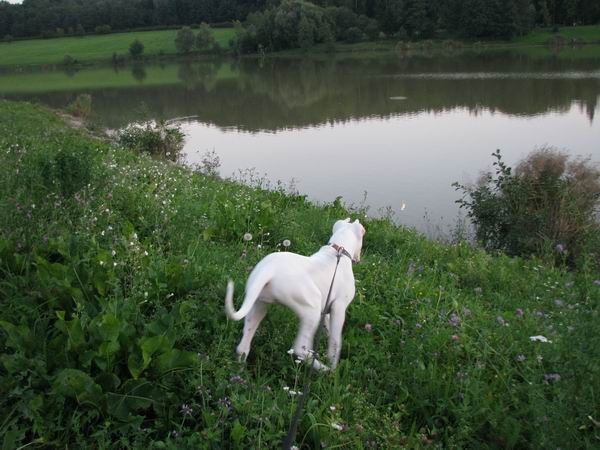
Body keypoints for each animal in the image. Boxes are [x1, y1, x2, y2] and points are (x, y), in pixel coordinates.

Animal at [225, 218, 366, 370]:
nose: (358, 260)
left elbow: (328, 330)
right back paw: (324, 369)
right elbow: (335, 342)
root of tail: (269, 270)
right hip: (311, 309)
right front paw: (334, 367)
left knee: (243, 345)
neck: (338, 250)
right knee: (300, 348)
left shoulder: (327, 309)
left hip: (258, 304)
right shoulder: (339, 308)